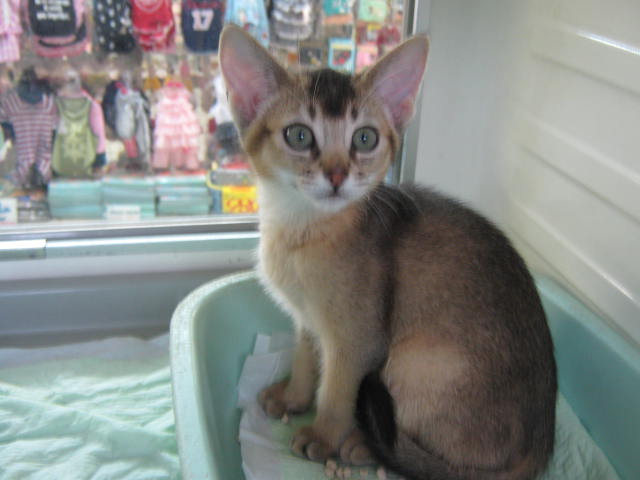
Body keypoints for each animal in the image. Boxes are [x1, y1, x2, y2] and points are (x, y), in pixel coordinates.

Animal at [219, 24, 557, 480]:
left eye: (365, 138)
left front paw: (323, 434)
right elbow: (307, 360)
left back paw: (363, 445)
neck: (299, 232)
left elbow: (337, 391)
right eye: (299, 135)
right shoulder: (307, 321)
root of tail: (541, 446)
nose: (337, 175)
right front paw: (292, 397)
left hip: (415, 361)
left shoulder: (356, 340)